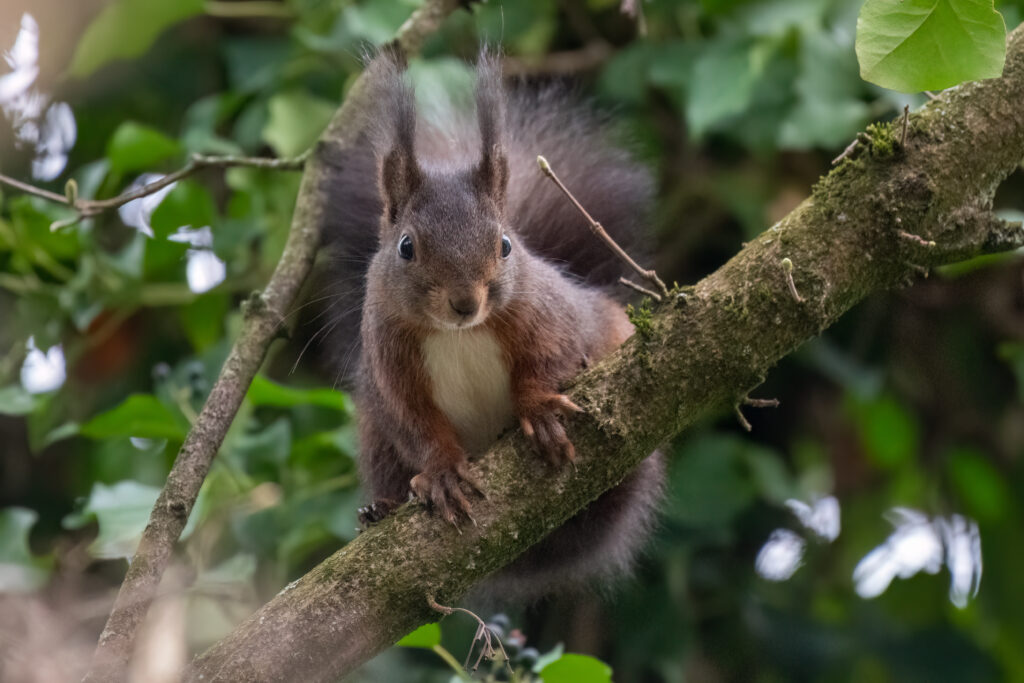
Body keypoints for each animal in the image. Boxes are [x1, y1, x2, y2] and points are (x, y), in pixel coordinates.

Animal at [311, 50, 663, 602]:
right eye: (405, 247)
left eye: (505, 245)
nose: (464, 303)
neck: (459, 336)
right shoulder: (389, 364)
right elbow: (413, 421)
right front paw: (441, 473)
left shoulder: (552, 317)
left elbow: (555, 356)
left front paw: (539, 408)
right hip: (373, 439)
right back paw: (380, 509)